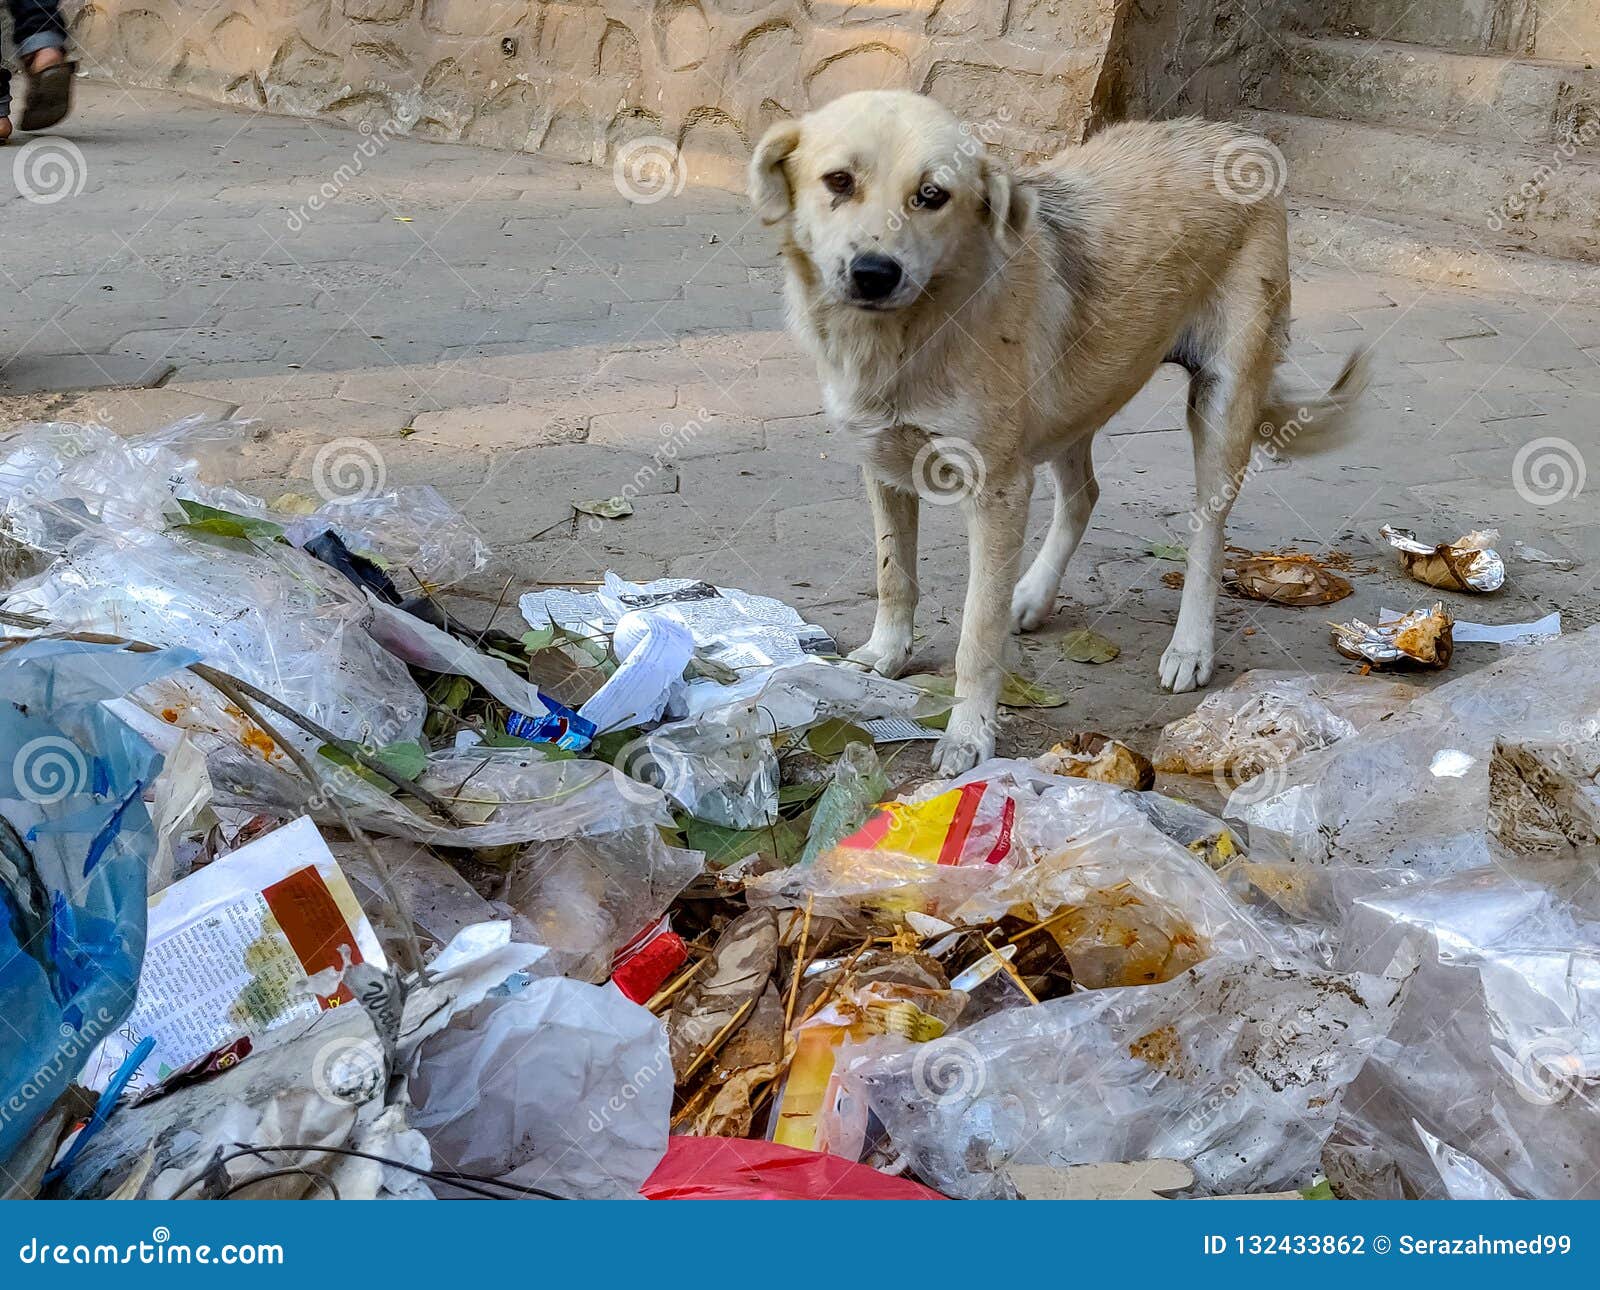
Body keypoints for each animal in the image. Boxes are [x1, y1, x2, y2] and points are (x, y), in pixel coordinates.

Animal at [745, 96, 1363, 777]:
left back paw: (1189, 646)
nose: (874, 273)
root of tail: (1232, 133)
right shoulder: (882, 466)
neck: (904, 339)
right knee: (1085, 493)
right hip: (1077, 395)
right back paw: (1035, 594)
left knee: (1207, 530)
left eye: (932, 195)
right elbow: (893, 575)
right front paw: (886, 654)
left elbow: (976, 634)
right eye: (838, 182)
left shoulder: (997, 491)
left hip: (1220, 404)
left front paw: (969, 734)